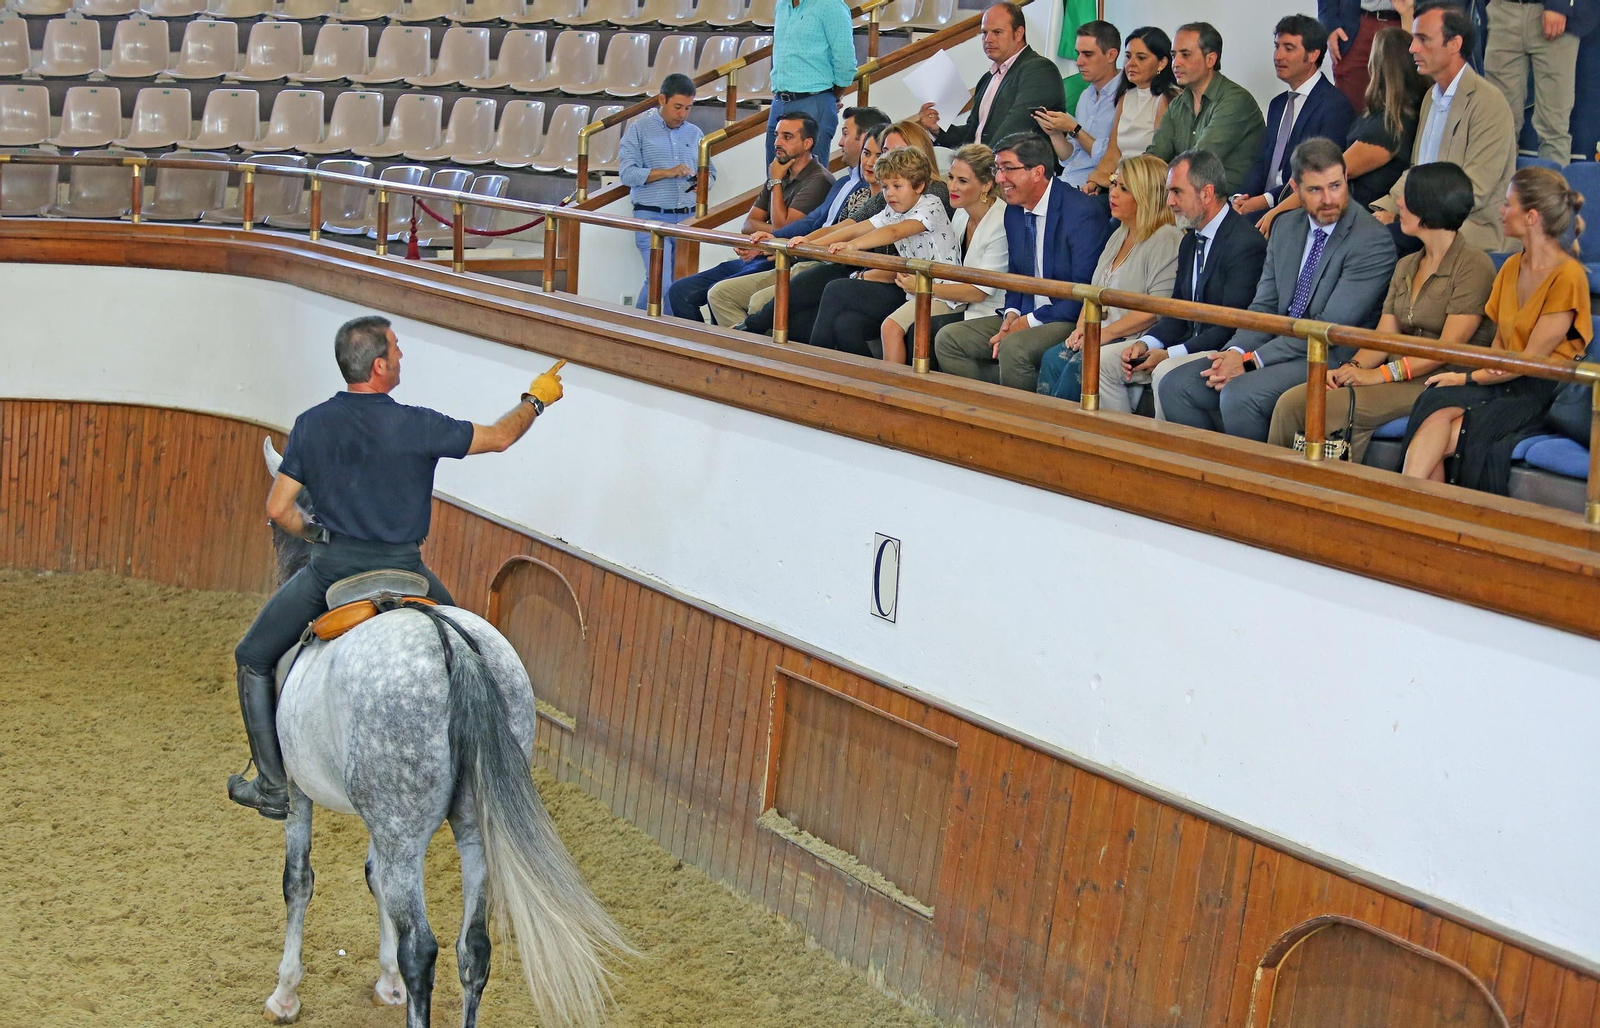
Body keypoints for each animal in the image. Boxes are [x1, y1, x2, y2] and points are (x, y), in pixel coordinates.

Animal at [255, 438, 629, 1028]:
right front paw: (385, 983)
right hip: (472, 826)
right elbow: (371, 876)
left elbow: (299, 881)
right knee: (473, 947)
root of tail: (448, 643)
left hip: (405, 831)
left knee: (423, 950)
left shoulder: (299, 790)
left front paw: (286, 992)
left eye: (276, 522)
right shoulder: (378, 822)